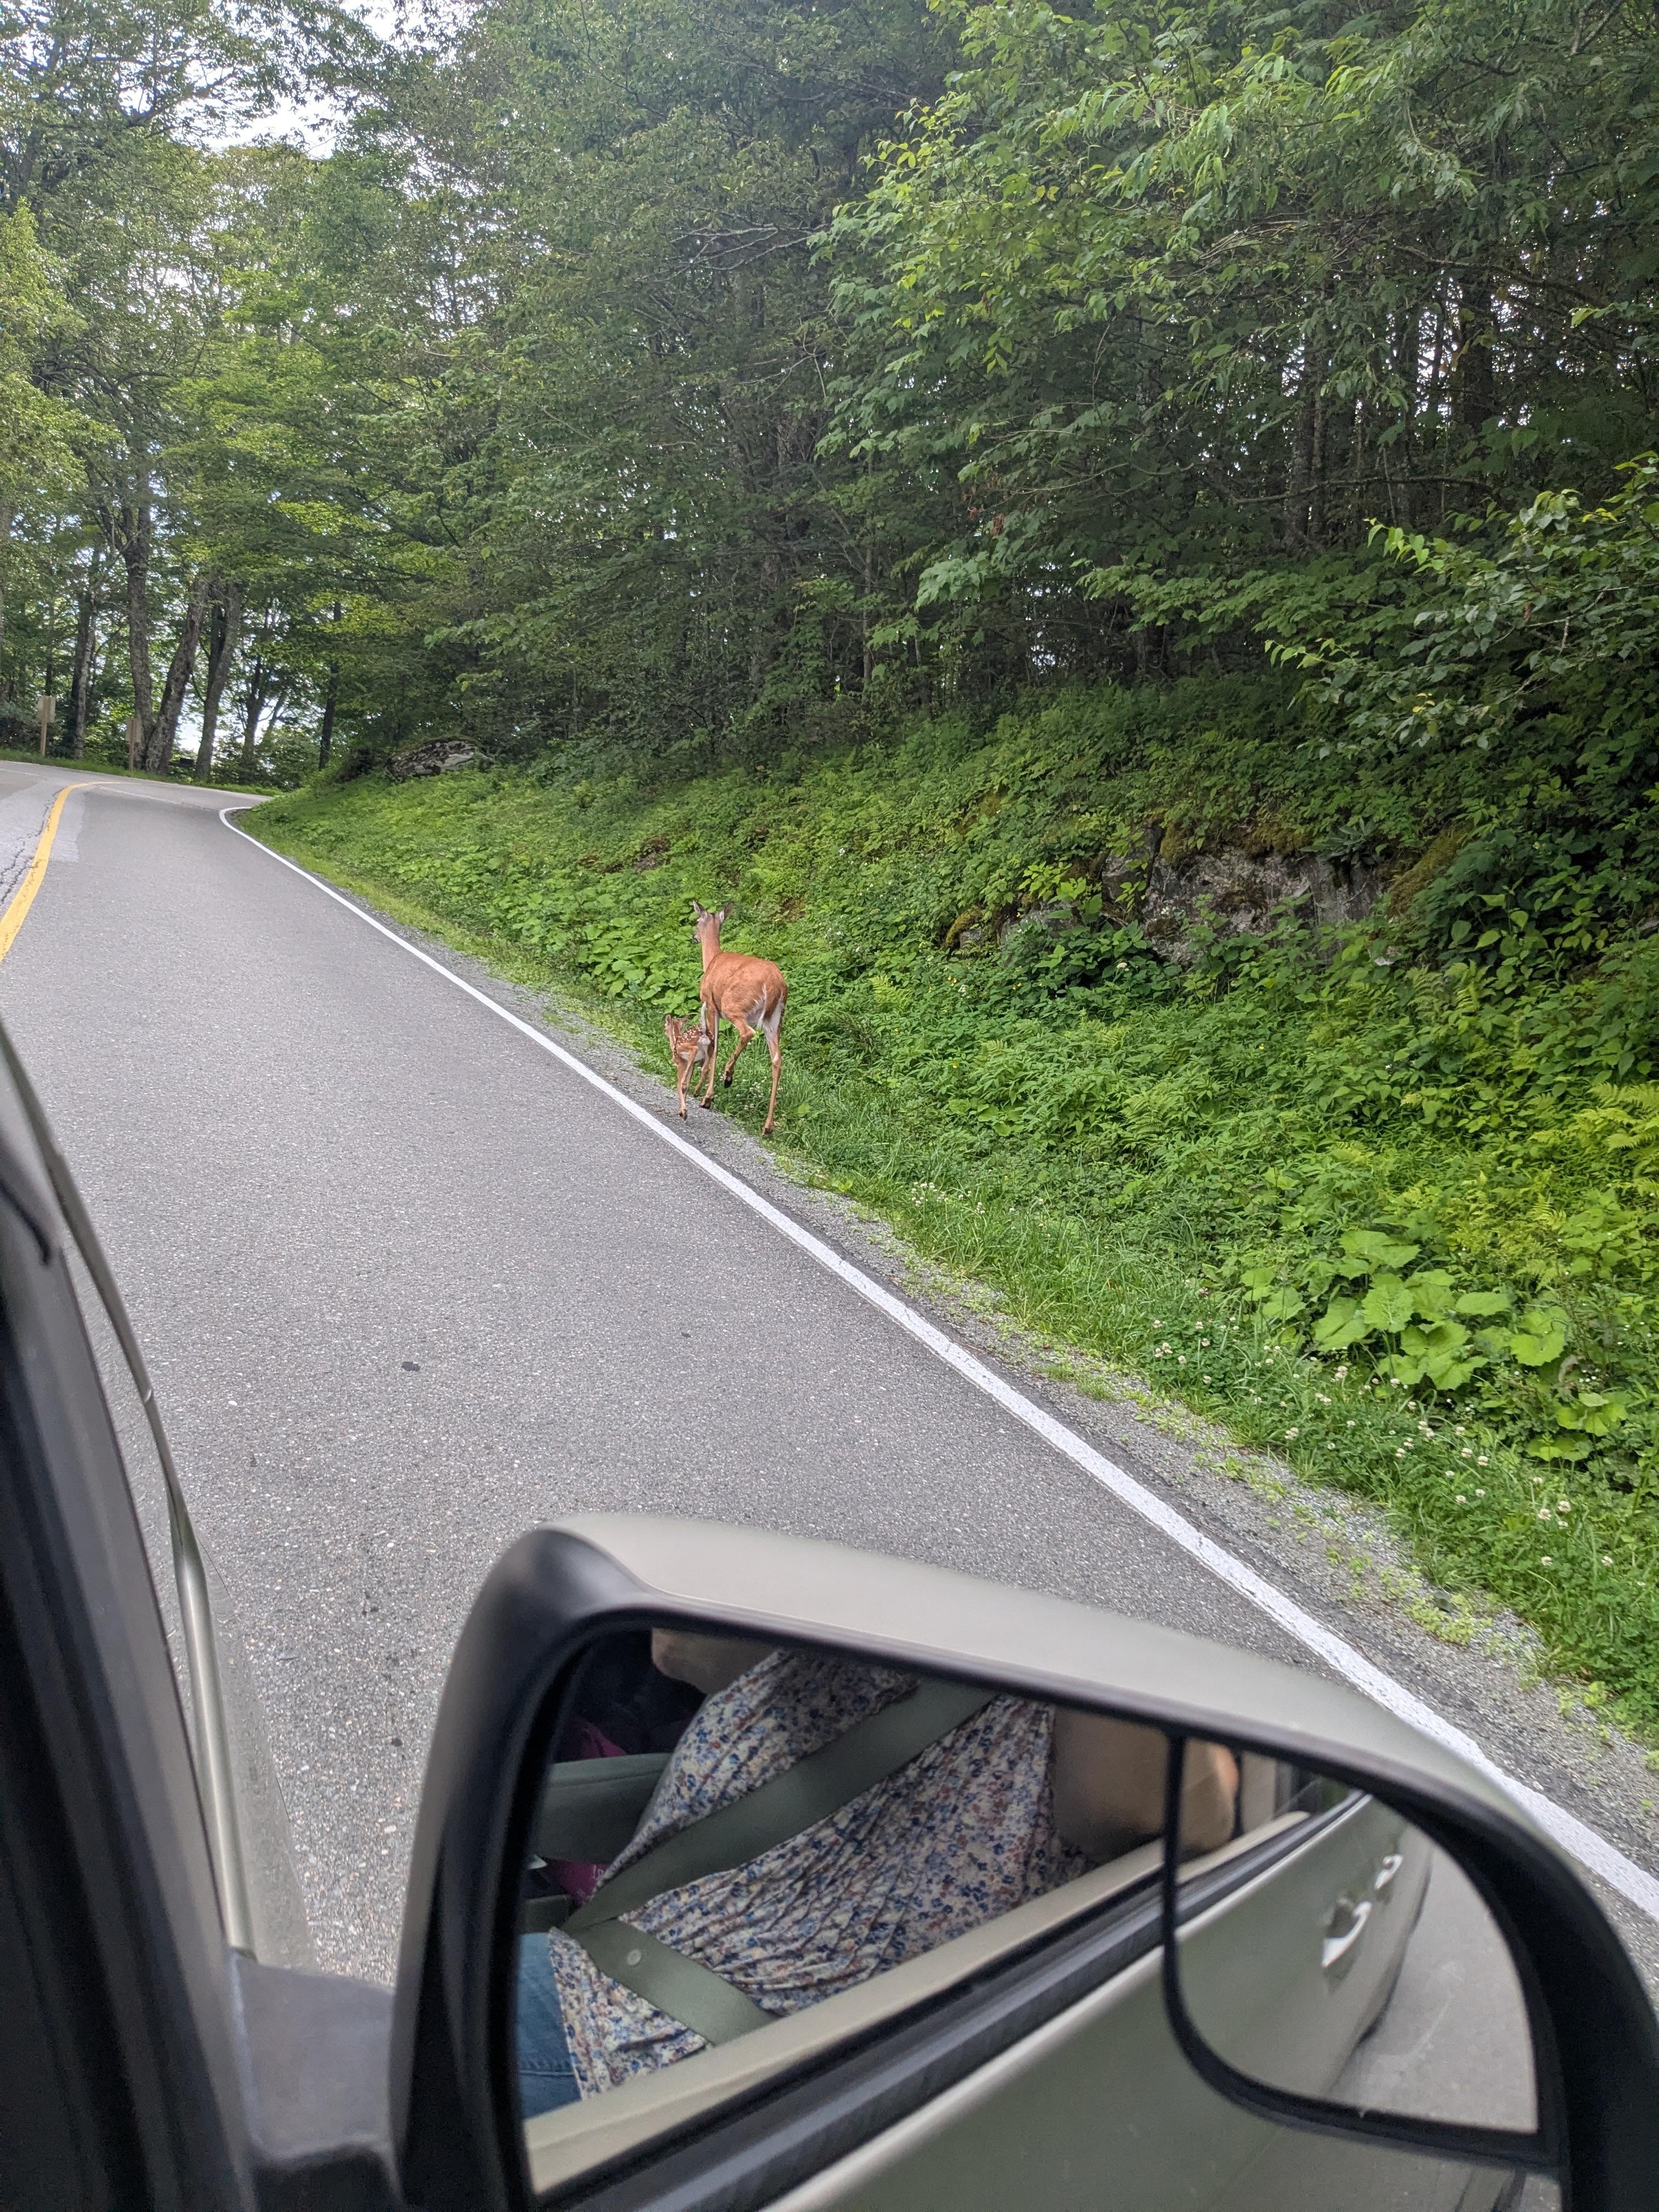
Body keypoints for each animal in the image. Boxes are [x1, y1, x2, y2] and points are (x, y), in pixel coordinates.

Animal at [663, 1013, 710, 1120]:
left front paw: (683, 1111)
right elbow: (688, 1086)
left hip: (685, 1048)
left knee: (694, 1050)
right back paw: (697, 1091)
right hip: (710, 1051)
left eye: (665, 1026)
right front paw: (682, 1111)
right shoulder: (692, 1064)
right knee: (706, 1068)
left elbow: (680, 1085)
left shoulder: (681, 1062)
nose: (664, 1031)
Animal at [691, 900, 787, 1135]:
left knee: (747, 1033)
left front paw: (703, 1094)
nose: (693, 936)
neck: (712, 960)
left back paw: (728, 1076)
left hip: (734, 1005)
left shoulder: (711, 1005)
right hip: (775, 1020)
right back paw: (767, 1127)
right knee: (777, 1059)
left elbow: (714, 1045)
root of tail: (775, 984)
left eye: (697, 921)